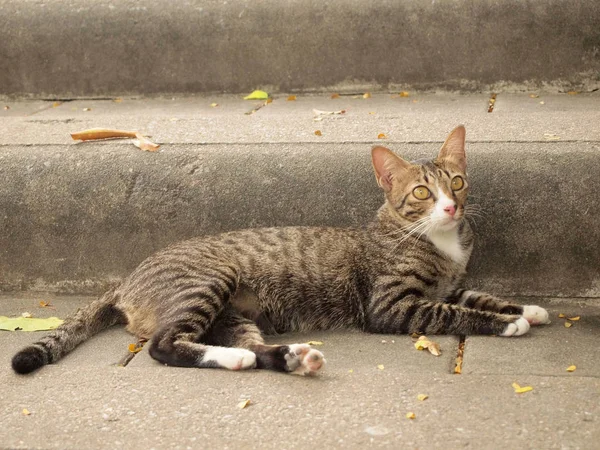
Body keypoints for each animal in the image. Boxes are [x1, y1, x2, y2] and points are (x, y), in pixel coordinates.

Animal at [11, 125, 552, 376]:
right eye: (421, 193)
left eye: (456, 182)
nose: (451, 206)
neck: (437, 242)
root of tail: (125, 280)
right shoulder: (392, 306)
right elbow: (454, 312)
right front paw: (508, 323)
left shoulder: (448, 286)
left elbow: (473, 296)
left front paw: (526, 308)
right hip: (208, 282)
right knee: (163, 345)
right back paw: (242, 359)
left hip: (232, 315)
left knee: (243, 344)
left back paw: (285, 358)